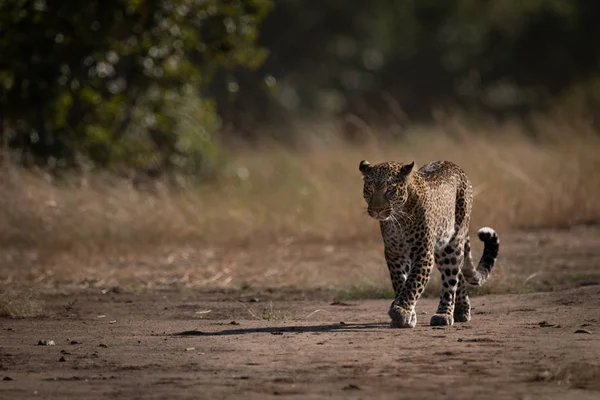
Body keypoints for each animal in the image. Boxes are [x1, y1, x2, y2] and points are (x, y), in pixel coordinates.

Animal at [358, 159, 500, 328]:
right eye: (369, 189)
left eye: (390, 189)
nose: (377, 210)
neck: (398, 218)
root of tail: (453, 164)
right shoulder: (395, 254)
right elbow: (400, 282)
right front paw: (408, 315)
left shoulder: (423, 253)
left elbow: (413, 283)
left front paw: (401, 311)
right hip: (440, 249)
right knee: (458, 274)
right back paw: (461, 310)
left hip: (452, 243)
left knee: (451, 279)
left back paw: (444, 314)